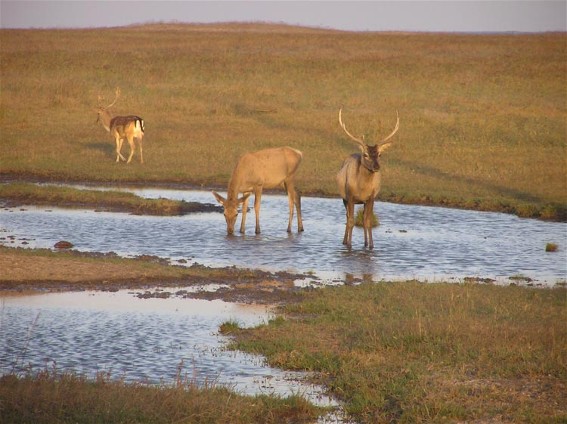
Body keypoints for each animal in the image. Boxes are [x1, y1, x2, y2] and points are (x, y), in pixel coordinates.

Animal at [338, 107, 400, 250]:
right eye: (365, 154)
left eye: (380, 154)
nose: (377, 166)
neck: (362, 188)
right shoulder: (350, 195)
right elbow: (351, 221)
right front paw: (349, 245)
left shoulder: (371, 197)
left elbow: (368, 221)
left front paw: (371, 246)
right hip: (344, 198)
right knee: (347, 217)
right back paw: (344, 241)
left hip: (364, 202)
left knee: (364, 219)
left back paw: (365, 242)